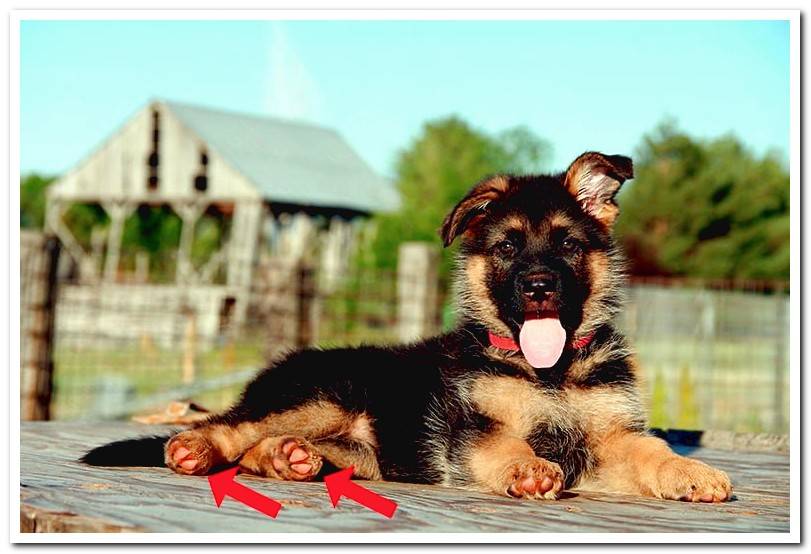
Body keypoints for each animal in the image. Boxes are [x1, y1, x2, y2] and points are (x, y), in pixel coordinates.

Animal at [85, 151, 732, 500]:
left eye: (569, 245)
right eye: (506, 248)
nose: (538, 287)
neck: (549, 372)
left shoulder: (611, 437)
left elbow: (652, 451)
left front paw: (692, 472)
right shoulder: (475, 426)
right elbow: (506, 442)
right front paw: (527, 466)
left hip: (366, 448)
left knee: (262, 449)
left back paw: (289, 459)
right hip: (321, 395)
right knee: (230, 426)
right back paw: (195, 448)